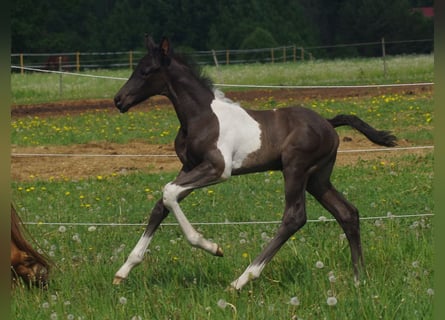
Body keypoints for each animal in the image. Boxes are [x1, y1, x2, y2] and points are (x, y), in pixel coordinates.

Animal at [112, 35, 396, 290]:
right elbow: (161, 205)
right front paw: (124, 269)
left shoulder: (218, 168)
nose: (118, 100)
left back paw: (242, 280)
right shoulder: (190, 166)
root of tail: (328, 123)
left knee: (295, 217)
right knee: (347, 213)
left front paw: (212, 247)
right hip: (318, 178)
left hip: (296, 168)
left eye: (146, 71)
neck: (201, 116)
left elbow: (169, 192)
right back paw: (358, 279)